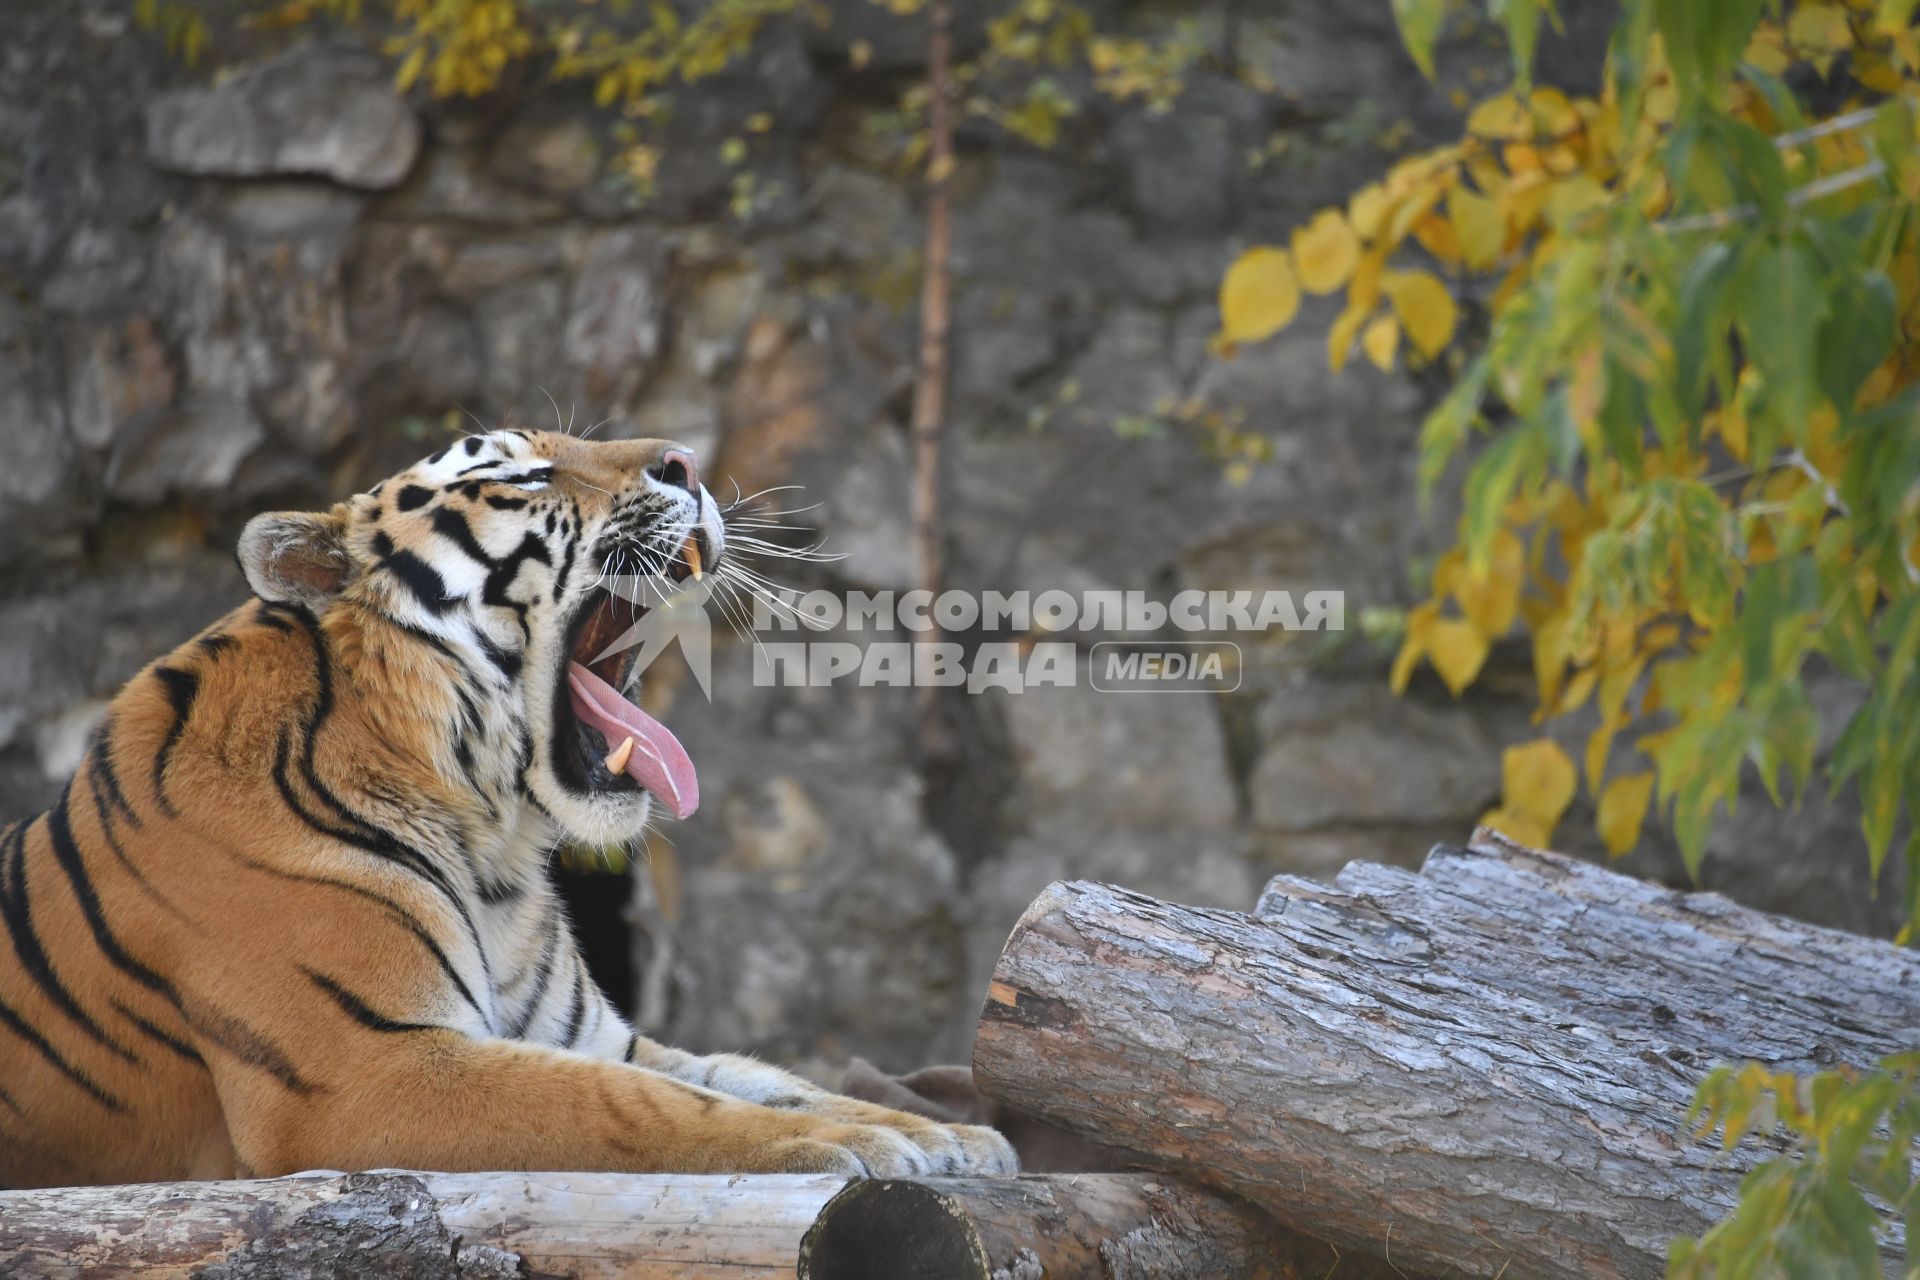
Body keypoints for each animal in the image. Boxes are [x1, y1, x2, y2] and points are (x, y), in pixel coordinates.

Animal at [0, 429, 1021, 1189]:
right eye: (523, 475)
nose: (688, 461)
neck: (488, 842)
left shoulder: (595, 1036)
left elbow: (760, 1076)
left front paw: (940, 1133)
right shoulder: (367, 1070)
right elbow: (634, 1107)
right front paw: (859, 1145)